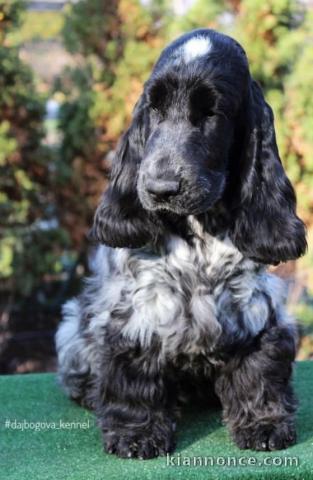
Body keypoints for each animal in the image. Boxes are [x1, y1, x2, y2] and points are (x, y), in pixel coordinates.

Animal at [54, 29, 306, 458]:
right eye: (153, 108)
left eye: (211, 113)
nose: (160, 189)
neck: (199, 230)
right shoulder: (136, 308)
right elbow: (132, 373)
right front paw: (137, 433)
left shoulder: (254, 305)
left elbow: (260, 367)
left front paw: (264, 423)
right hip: (73, 322)